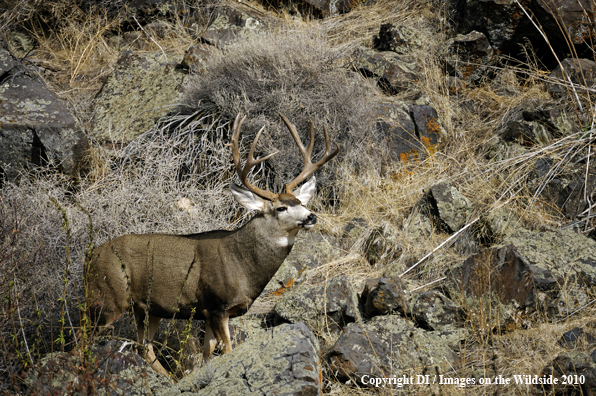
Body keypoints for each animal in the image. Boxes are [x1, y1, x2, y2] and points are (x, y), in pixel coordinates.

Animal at [82, 113, 340, 376]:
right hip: (107, 298)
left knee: (144, 346)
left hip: (148, 308)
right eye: (281, 208)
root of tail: (90, 256)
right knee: (84, 341)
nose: (311, 216)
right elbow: (227, 350)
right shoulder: (218, 306)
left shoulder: (206, 312)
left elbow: (209, 353)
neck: (242, 265)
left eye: (300, 201)